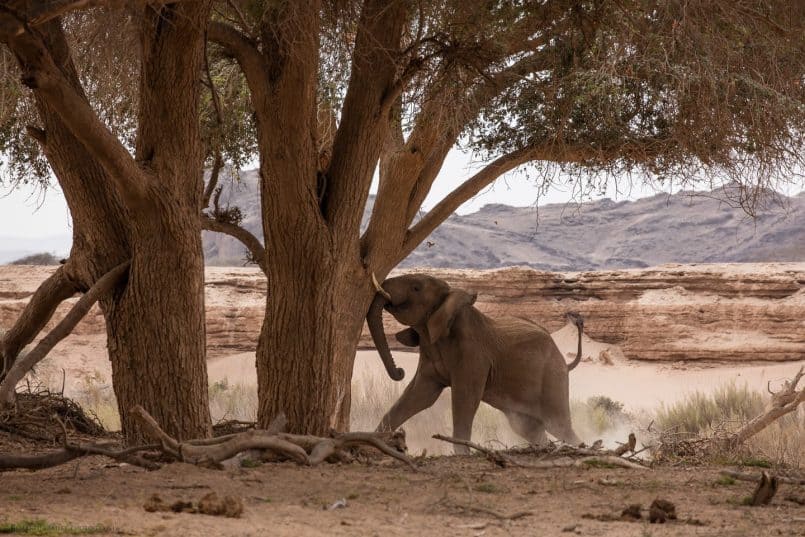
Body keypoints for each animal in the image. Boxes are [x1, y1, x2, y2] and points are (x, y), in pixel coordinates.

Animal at [366, 272, 584, 452]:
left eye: (416, 288)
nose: (399, 371)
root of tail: (565, 363)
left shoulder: (473, 354)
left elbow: (465, 398)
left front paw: (461, 454)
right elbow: (419, 396)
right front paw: (374, 443)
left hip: (553, 378)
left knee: (559, 425)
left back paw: (579, 447)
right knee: (528, 428)